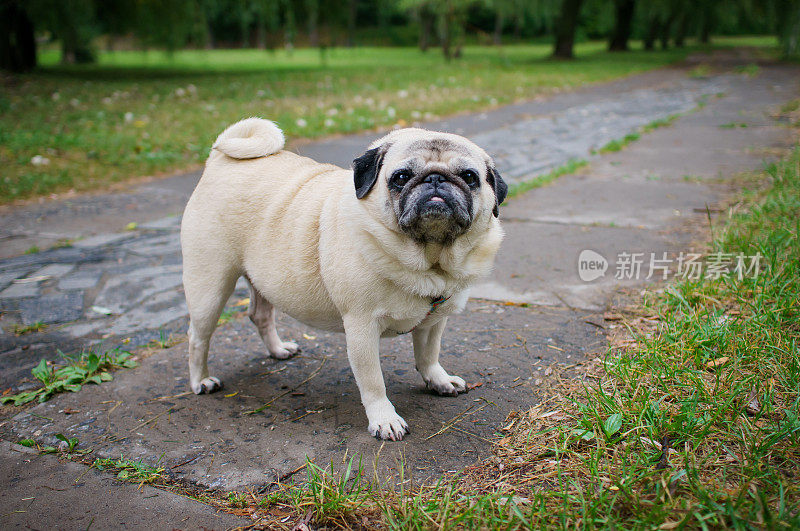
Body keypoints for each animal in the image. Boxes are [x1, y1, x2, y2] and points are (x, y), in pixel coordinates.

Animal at [183, 118, 506, 442]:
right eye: (401, 177)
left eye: (469, 177)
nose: (436, 179)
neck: (431, 262)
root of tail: (218, 160)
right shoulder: (362, 328)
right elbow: (373, 382)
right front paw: (384, 419)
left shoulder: (433, 322)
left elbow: (428, 355)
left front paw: (438, 380)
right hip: (210, 286)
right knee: (198, 338)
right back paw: (201, 381)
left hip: (261, 278)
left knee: (260, 315)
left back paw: (278, 350)